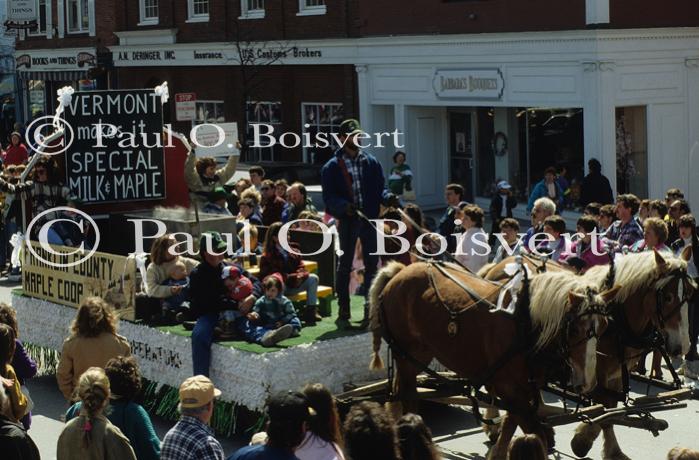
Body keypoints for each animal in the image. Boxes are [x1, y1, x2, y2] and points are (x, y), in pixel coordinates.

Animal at [372, 260, 616, 458]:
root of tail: (400, 271)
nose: (588, 382)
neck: (523, 324)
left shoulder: (523, 389)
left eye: (604, 326)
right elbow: (534, 432)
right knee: (408, 396)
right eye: (573, 330)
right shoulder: (510, 388)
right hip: (407, 353)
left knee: (399, 390)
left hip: (416, 354)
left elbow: (511, 424)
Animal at [572, 250, 696, 460]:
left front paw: (607, 447)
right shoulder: (598, 371)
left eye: (690, 293)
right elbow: (606, 409)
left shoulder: (617, 372)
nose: (683, 346)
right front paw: (583, 440)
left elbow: (611, 409)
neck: (616, 319)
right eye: (668, 297)